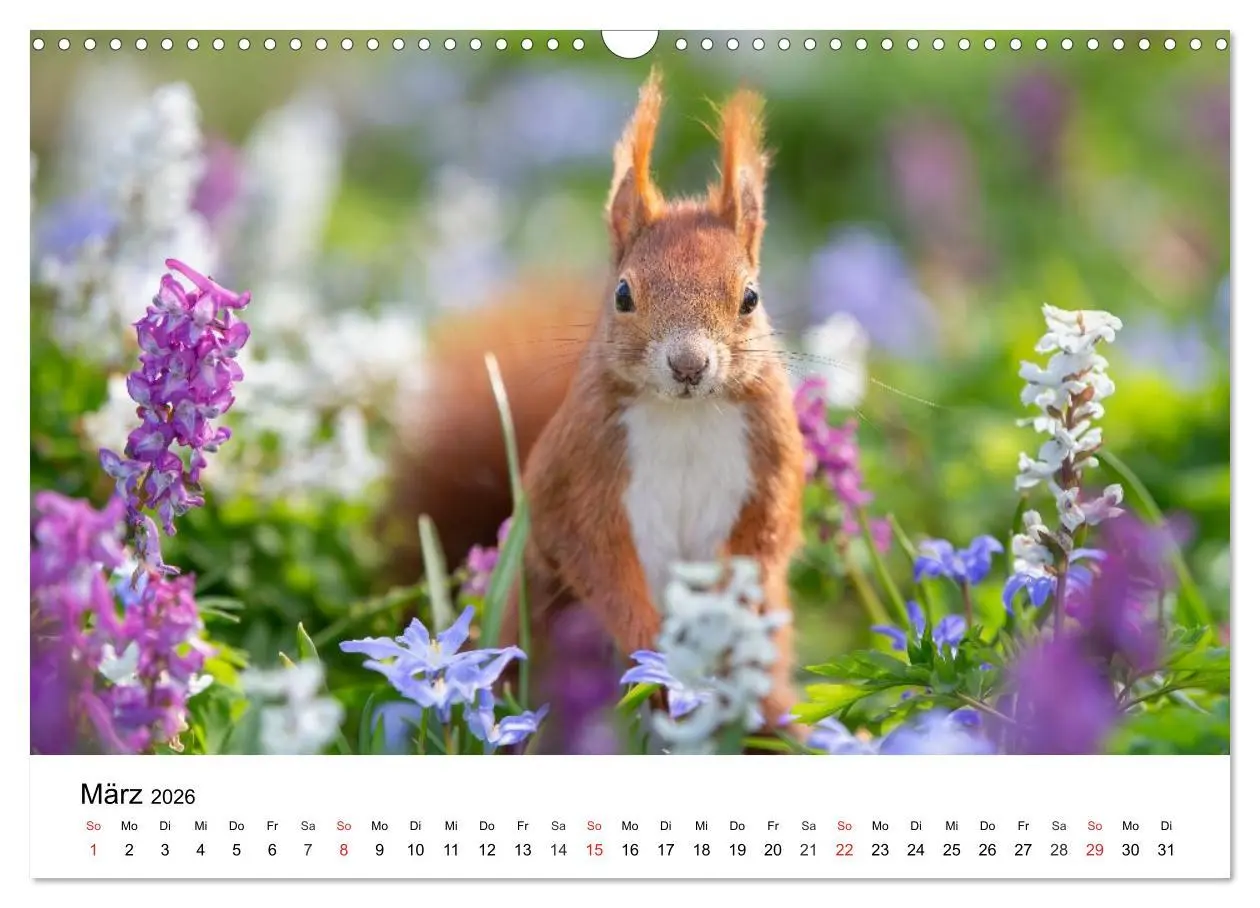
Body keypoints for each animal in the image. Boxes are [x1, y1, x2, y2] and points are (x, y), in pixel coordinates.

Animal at [386, 69, 806, 732]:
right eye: (623, 294)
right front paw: (651, 646)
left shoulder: (773, 462)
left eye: (751, 298)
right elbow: (592, 555)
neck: (684, 414)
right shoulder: (581, 467)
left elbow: (765, 542)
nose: (689, 365)